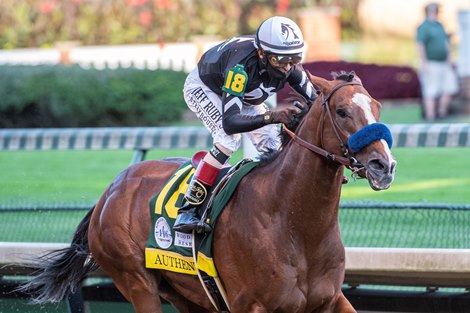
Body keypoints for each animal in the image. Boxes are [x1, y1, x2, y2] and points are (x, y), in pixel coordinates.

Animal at [23, 72, 396, 310]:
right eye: (342, 111)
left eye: (377, 107)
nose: (385, 165)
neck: (293, 222)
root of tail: (109, 192)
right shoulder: (252, 306)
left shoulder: (331, 299)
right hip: (136, 281)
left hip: (185, 294)